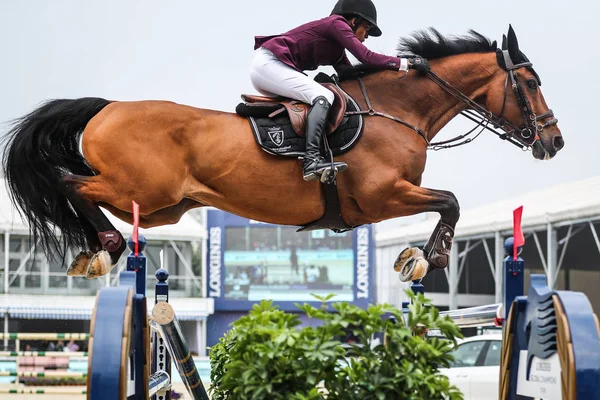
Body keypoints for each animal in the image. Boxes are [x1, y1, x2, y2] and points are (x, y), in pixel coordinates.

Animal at [1, 25, 564, 282]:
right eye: (532, 83)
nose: (554, 142)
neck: (395, 111)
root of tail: (108, 108)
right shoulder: (383, 196)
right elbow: (449, 201)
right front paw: (427, 259)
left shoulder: (387, 199)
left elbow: (448, 202)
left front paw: (419, 257)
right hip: (142, 190)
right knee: (69, 184)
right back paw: (106, 247)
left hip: (163, 207)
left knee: (82, 192)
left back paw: (96, 248)